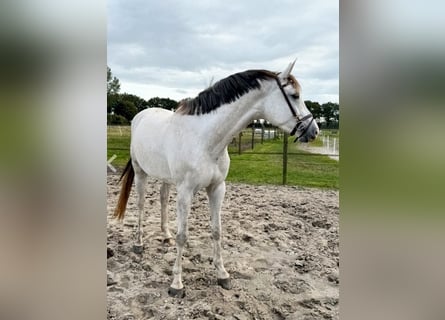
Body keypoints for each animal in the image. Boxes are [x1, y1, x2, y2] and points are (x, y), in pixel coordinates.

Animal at [112, 62, 318, 298]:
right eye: (294, 95)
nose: (314, 131)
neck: (205, 139)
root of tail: (141, 116)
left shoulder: (217, 188)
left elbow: (216, 231)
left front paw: (222, 274)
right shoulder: (185, 192)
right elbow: (183, 236)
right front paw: (176, 284)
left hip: (166, 178)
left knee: (163, 199)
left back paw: (166, 236)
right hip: (140, 173)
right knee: (141, 204)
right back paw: (139, 244)